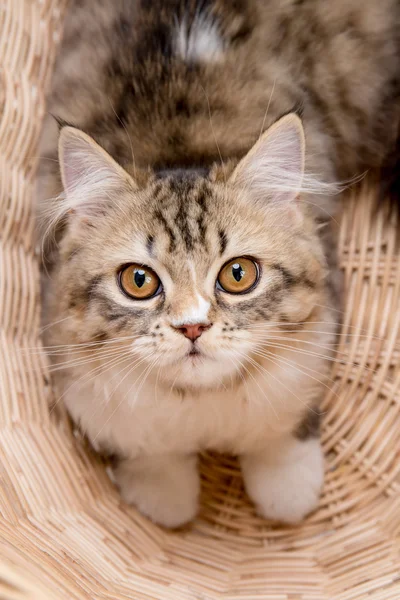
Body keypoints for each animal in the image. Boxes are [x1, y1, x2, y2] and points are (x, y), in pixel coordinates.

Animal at [37, 0, 400, 524]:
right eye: (139, 281)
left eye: (238, 274)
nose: (193, 327)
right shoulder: (84, 386)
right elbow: (150, 458)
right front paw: (163, 497)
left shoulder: (315, 347)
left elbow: (282, 436)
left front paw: (289, 492)